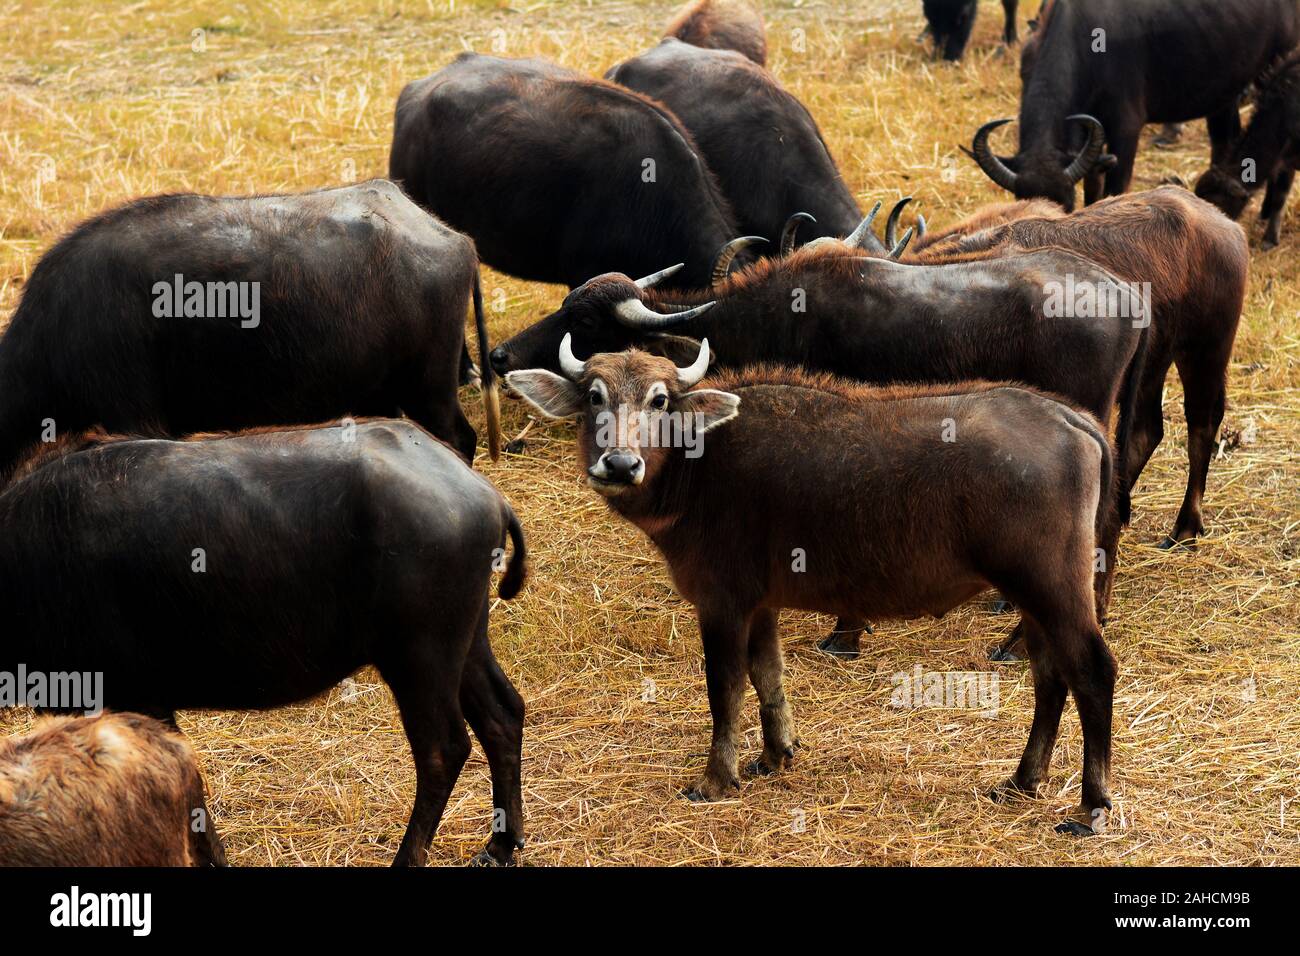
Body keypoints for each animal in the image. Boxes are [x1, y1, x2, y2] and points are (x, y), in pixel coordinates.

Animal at [0, 419, 528, 866]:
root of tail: (481, 490)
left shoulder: (132, 701)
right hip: (466, 642)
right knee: (503, 715)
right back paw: (501, 844)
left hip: (419, 656)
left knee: (443, 750)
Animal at [508, 345, 1118, 836]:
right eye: (594, 396)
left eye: (660, 401)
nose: (619, 463)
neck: (700, 463)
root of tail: (1068, 416)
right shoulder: (761, 604)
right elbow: (767, 673)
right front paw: (776, 753)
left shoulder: (722, 602)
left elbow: (725, 686)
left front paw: (716, 778)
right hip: (1035, 599)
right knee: (1049, 676)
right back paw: (1022, 780)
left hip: (1053, 588)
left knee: (1091, 672)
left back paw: (1090, 807)